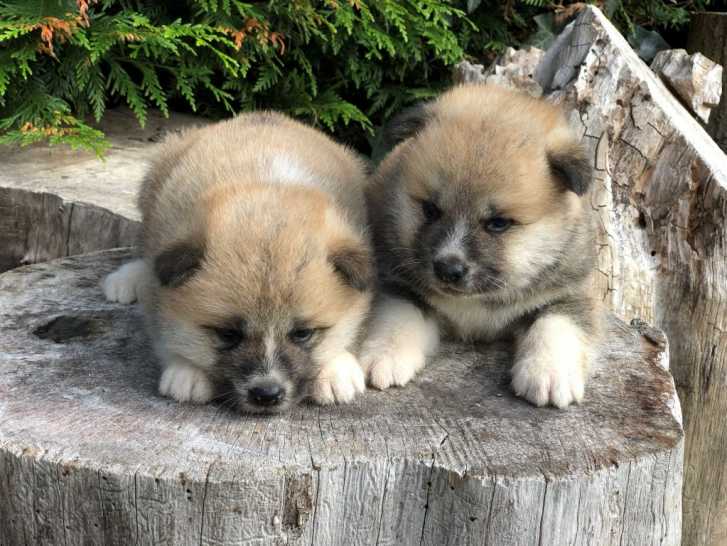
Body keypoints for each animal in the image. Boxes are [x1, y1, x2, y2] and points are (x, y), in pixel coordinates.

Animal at [103, 111, 373, 413]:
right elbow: (165, 336)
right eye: (228, 334)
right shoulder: (158, 295)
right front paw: (186, 372)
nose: (267, 394)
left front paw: (338, 371)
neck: (266, 187)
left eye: (303, 334)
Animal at [360, 84, 600, 408]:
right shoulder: (399, 283)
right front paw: (384, 355)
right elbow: (398, 316)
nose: (447, 268)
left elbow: (556, 324)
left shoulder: (571, 292)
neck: (477, 303)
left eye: (498, 223)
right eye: (430, 210)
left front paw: (549, 372)